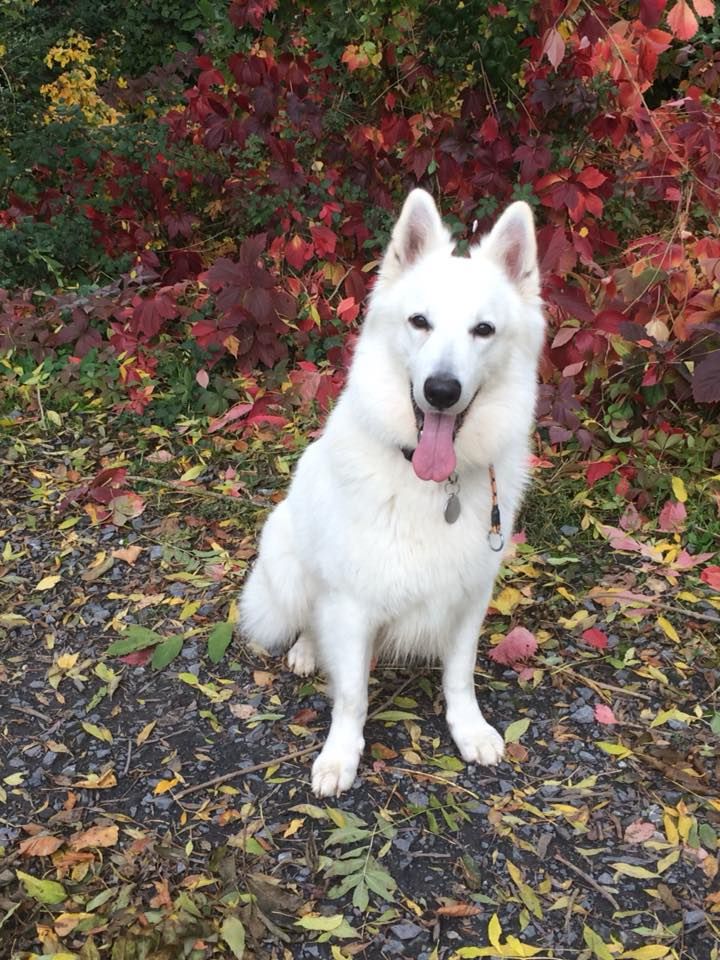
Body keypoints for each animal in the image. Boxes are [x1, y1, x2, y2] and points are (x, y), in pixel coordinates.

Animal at [239, 189, 544, 797]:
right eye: (419, 322)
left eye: (484, 330)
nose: (441, 390)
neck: (432, 484)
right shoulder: (351, 604)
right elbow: (352, 695)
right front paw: (340, 756)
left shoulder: (470, 598)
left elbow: (460, 676)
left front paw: (469, 730)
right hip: (286, 565)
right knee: (307, 619)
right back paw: (307, 650)